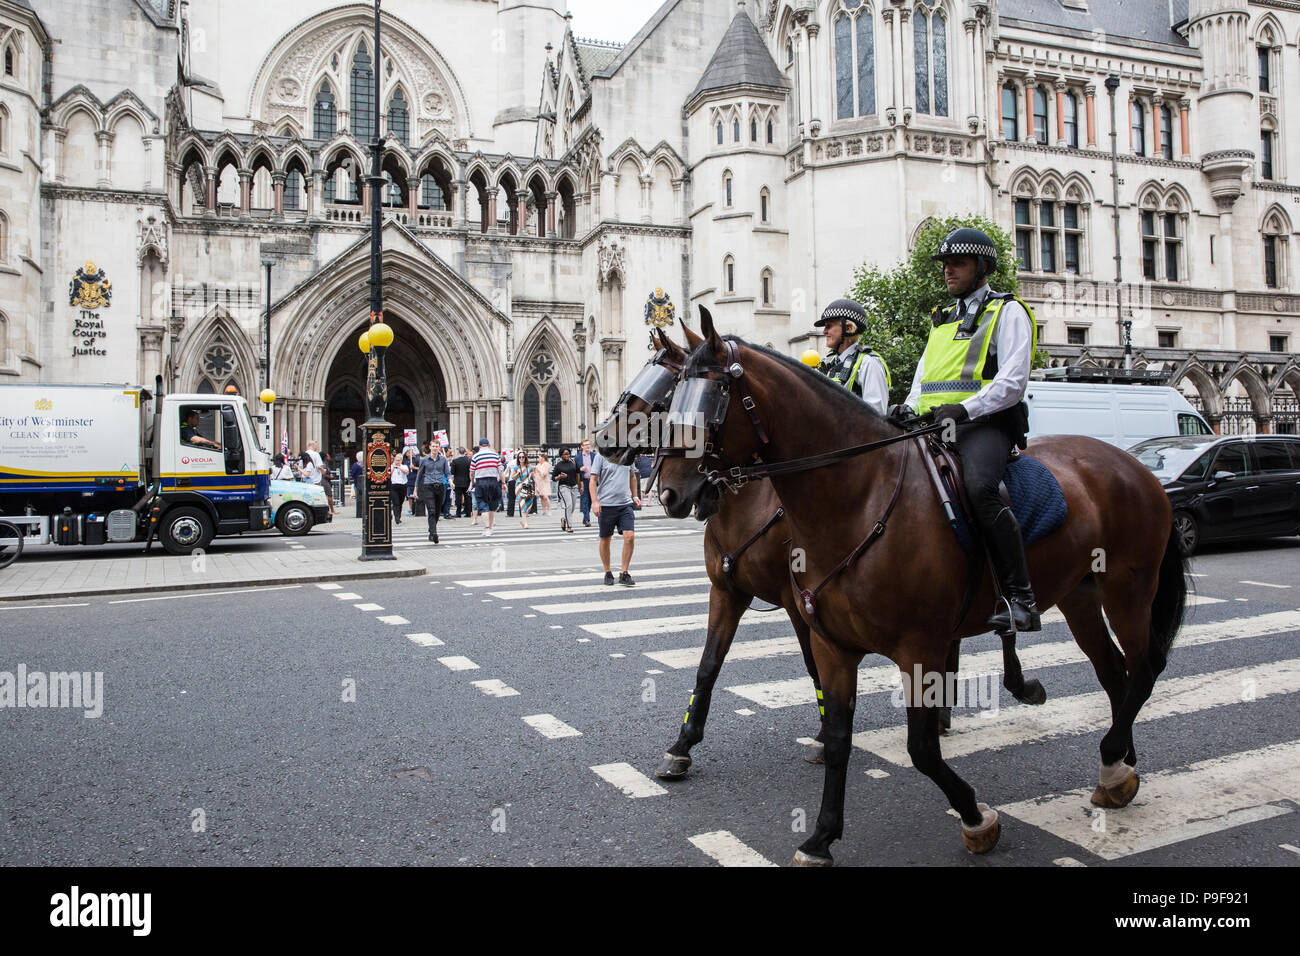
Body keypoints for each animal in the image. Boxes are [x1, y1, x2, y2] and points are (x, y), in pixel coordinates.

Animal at [592, 329, 821, 780]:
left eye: (660, 393)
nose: (602, 439)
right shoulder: (726, 592)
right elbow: (708, 664)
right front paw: (682, 745)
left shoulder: (798, 603)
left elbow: (815, 664)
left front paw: (827, 737)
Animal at [660, 310, 1190, 863]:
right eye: (671, 396)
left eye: (710, 401)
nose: (670, 492)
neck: (858, 499)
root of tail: (1136, 465)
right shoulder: (814, 634)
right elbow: (816, 722)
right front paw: (820, 835)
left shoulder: (915, 646)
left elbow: (920, 750)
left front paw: (977, 818)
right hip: (1080, 596)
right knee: (1114, 674)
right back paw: (1121, 765)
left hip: (1128, 588)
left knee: (1145, 667)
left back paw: (1108, 753)